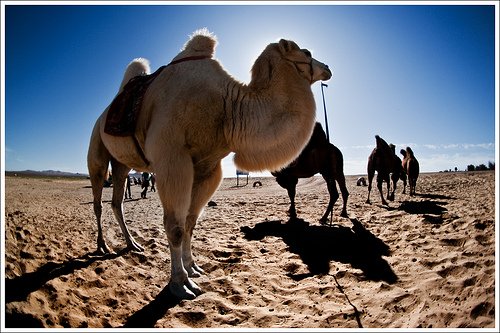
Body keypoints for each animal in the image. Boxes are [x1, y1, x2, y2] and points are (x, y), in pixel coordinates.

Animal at [88, 29, 332, 298]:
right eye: (306, 52)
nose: (327, 67)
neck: (227, 108)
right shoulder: (172, 157)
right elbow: (175, 227)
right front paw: (180, 283)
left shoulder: (208, 167)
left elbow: (190, 223)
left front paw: (193, 267)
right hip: (97, 147)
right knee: (98, 199)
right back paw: (102, 246)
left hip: (121, 164)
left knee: (117, 201)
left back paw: (132, 244)